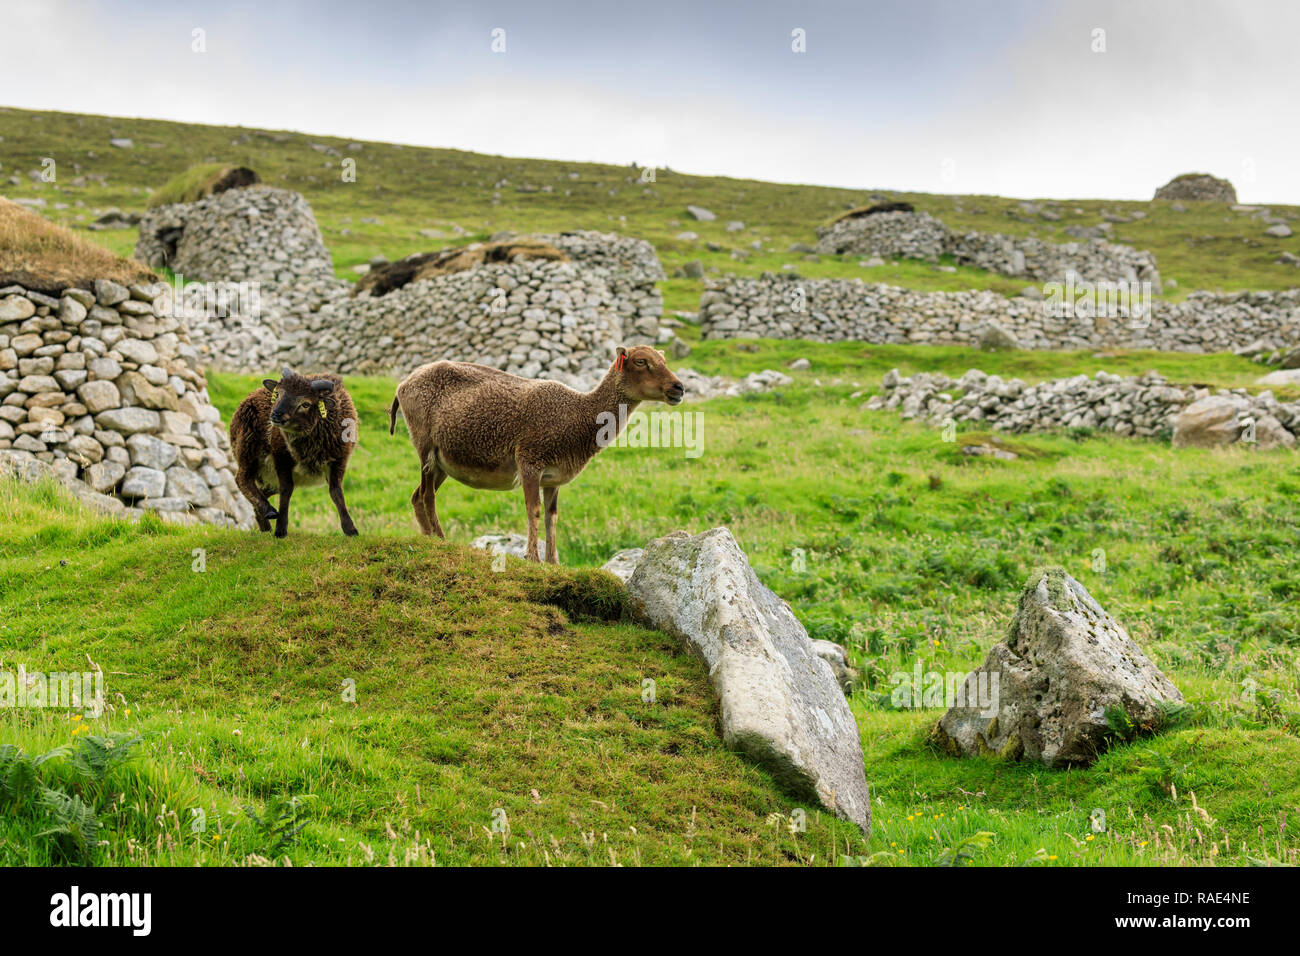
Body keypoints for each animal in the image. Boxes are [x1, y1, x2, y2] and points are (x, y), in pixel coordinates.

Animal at [230, 366, 361, 538]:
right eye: (278, 394)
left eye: (305, 404)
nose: (275, 415)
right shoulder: (281, 456)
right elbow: (286, 490)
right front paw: (280, 530)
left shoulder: (339, 460)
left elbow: (336, 492)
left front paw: (350, 529)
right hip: (247, 446)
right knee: (242, 479)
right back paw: (269, 510)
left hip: (269, 476)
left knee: (262, 491)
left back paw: (265, 526)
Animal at [387, 348, 686, 564]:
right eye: (641, 361)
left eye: (663, 359)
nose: (679, 388)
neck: (580, 415)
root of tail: (404, 384)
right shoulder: (529, 460)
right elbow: (534, 509)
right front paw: (533, 557)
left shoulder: (553, 478)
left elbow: (552, 517)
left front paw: (553, 562)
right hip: (425, 445)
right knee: (427, 494)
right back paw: (440, 538)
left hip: (442, 463)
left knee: (416, 495)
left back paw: (428, 537)